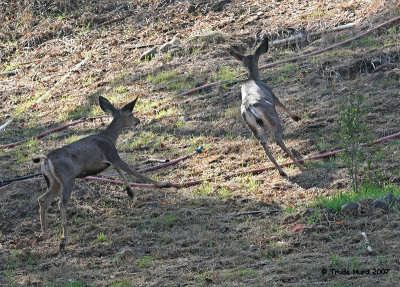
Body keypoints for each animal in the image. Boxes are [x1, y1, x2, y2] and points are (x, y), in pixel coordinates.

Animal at [33, 96, 171, 250]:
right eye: (130, 114)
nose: (138, 120)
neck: (110, 138)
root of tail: (46, 160)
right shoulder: (113, 155)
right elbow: (134, 172)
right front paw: (163, 184)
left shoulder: (106, 164)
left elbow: (119, 171)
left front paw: (130, 192)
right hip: (67, 178)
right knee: (61, 203)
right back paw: (64, 240)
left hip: (54, 182)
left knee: (42, 199)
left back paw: (44, 234)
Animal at [228, 35, 306, 177]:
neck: (253, 79)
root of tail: (248, 107)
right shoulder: (273, 95)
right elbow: (282, 104)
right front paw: (296, 117)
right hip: (272, 118)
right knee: (277, 139)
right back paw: (301, 167)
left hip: (253, 127)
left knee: (263, 143)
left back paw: (282, 172)